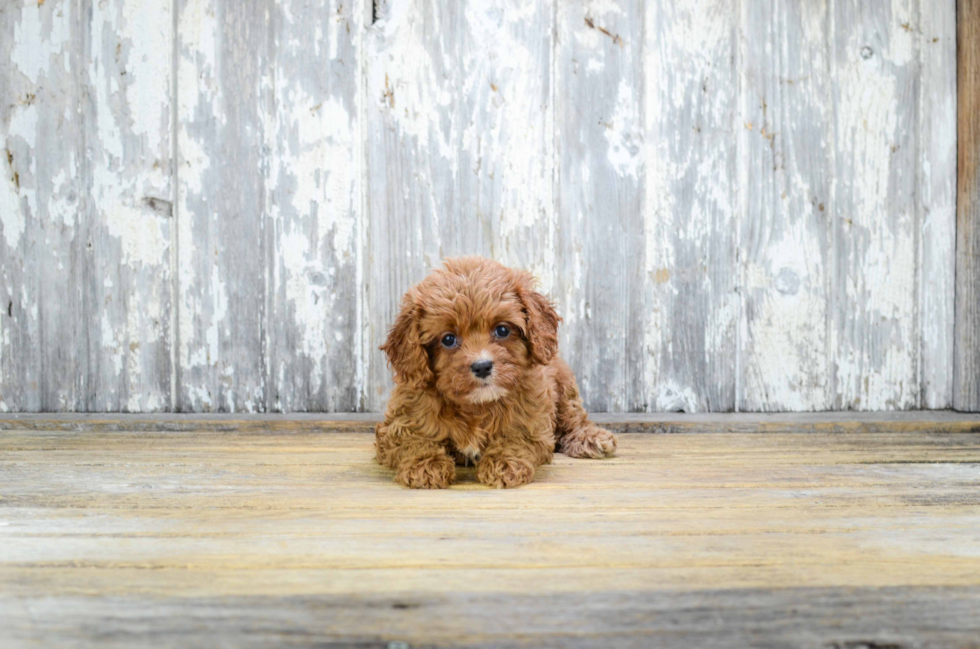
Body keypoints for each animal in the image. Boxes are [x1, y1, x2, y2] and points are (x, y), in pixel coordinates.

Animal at [374, 256, 612, 488]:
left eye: (502, 330)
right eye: (448, 339)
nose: (482, 366)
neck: (477, 405)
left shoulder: (533, 420)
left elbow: (516, 437)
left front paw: (503, 462)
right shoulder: (400, 421)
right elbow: (413, 441)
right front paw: (425, 464)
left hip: (564, 386)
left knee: (574, 417)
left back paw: (591, 438)